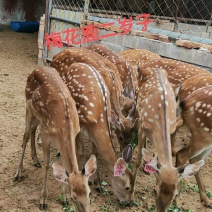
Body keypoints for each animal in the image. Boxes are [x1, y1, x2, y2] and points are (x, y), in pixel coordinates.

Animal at [14, 67, 97, 211]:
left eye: (90, 193)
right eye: (73, 197)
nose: (69, 198)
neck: (64, 128)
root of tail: (37, 68)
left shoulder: (72, 134)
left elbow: (63, 167)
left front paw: (63, 199)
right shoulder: (46, 135)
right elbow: (48, 165)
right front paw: (43, 200)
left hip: (38, 117)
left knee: (32, 130)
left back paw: (35, 160)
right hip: (28, 107)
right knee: (25, 136)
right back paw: (18, 173)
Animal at [133, 68, 205, 212]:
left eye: (175, 194)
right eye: (154, 190)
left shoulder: (171, 129)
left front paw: (179, 204)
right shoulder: (142, 128)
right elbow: (137, 161)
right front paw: (130, 195)